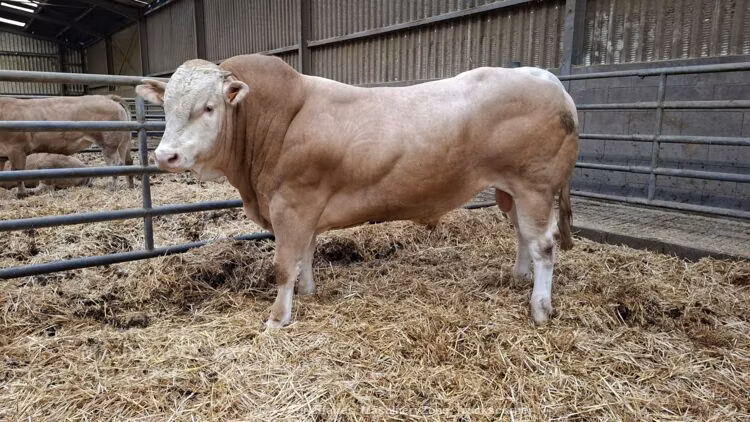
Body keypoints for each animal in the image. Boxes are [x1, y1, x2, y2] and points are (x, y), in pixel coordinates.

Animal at [0, 94, 134, 196]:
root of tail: (108, 97)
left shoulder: (16, 148)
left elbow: (17, 172)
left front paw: (21, 193)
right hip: (123, 142)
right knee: (127, 161)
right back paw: (129, 185)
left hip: (108, 144)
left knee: (116, 163)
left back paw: (112, 187)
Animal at [136, 54, 579, 328]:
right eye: (167, 107)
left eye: (208, 107)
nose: (164, 155)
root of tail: (546, 78)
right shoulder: (304, 208)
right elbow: (305, 255)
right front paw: (308, 293)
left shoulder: (291, 203)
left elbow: (285, 264)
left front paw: (278, 318)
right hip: (512, 191)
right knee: (523, 235)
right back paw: (517, 279)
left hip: (535, 186)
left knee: (544, 244)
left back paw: (540, 307)